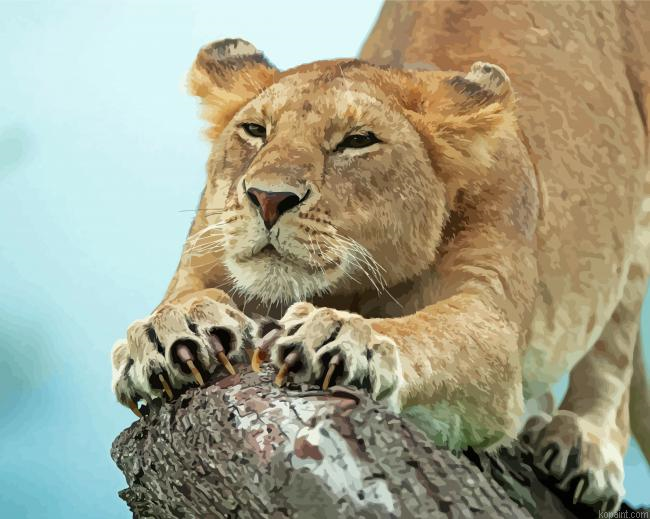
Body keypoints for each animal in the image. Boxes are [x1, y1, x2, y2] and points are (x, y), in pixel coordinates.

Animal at [111, 1, 650, 512]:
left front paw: (342, 338)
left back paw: (587, 447)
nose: (268, 198)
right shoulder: (203, 250)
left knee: (615, 348)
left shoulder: (489, 310)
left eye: (357, 141)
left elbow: (433, 333)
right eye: (255, 129)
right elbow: (178, 298)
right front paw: (166, 333)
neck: (352, 286)